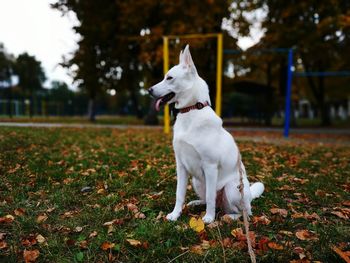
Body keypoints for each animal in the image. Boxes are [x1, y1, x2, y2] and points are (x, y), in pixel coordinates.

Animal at [149, 46, 264, 225]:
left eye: (169, 78)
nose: (149, 90)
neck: (192, 110)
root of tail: (250, 197)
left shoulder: (210, 167)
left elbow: (210, 197)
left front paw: (208, 218)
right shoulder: (181, 166)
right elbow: (179, 194)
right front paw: (175, 214)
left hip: (231, 188)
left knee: (242, 212)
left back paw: (228, 216)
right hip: (197, 181)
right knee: (211, 201)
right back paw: (196, 203)